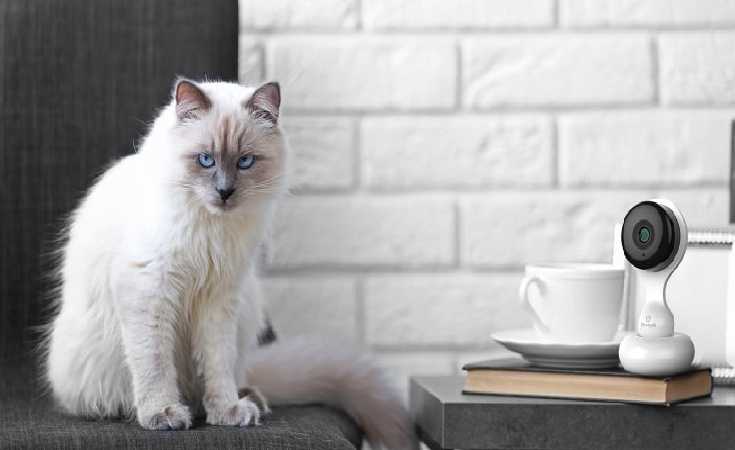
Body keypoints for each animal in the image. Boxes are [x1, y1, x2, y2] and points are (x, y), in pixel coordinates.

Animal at [43, 79, 416, 448]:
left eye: (245, 161)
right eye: (206, 160)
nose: (224, 192)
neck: (211, 230)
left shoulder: (218, 299)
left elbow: (217, 365)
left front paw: (226, 412)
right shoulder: (150, 292)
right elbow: (155, 364)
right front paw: (163, 415)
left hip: (245, 313)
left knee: (227, 379)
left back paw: (249, 401)